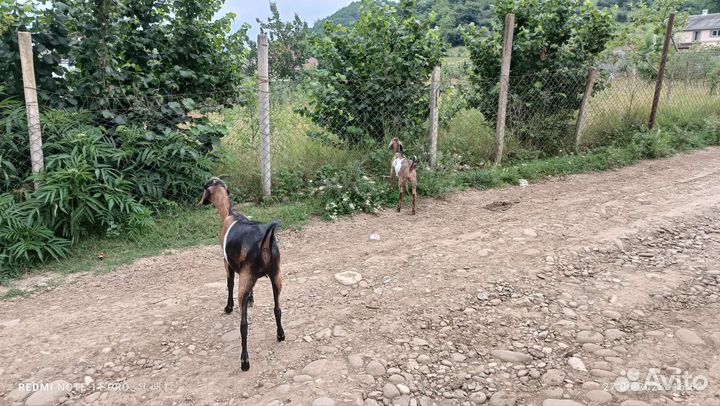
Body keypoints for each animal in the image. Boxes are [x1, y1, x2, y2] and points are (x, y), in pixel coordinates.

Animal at [198, 177, 285, 371]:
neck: (230, 213)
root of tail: (266, 241)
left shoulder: (227, 263)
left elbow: (229, 284)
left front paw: (228, 307)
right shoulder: (248, 276)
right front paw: (252, 300)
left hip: (245, 283)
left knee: (244, 324)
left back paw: (245, 361)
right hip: (276, 276)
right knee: (277, 309)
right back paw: (281, 335)